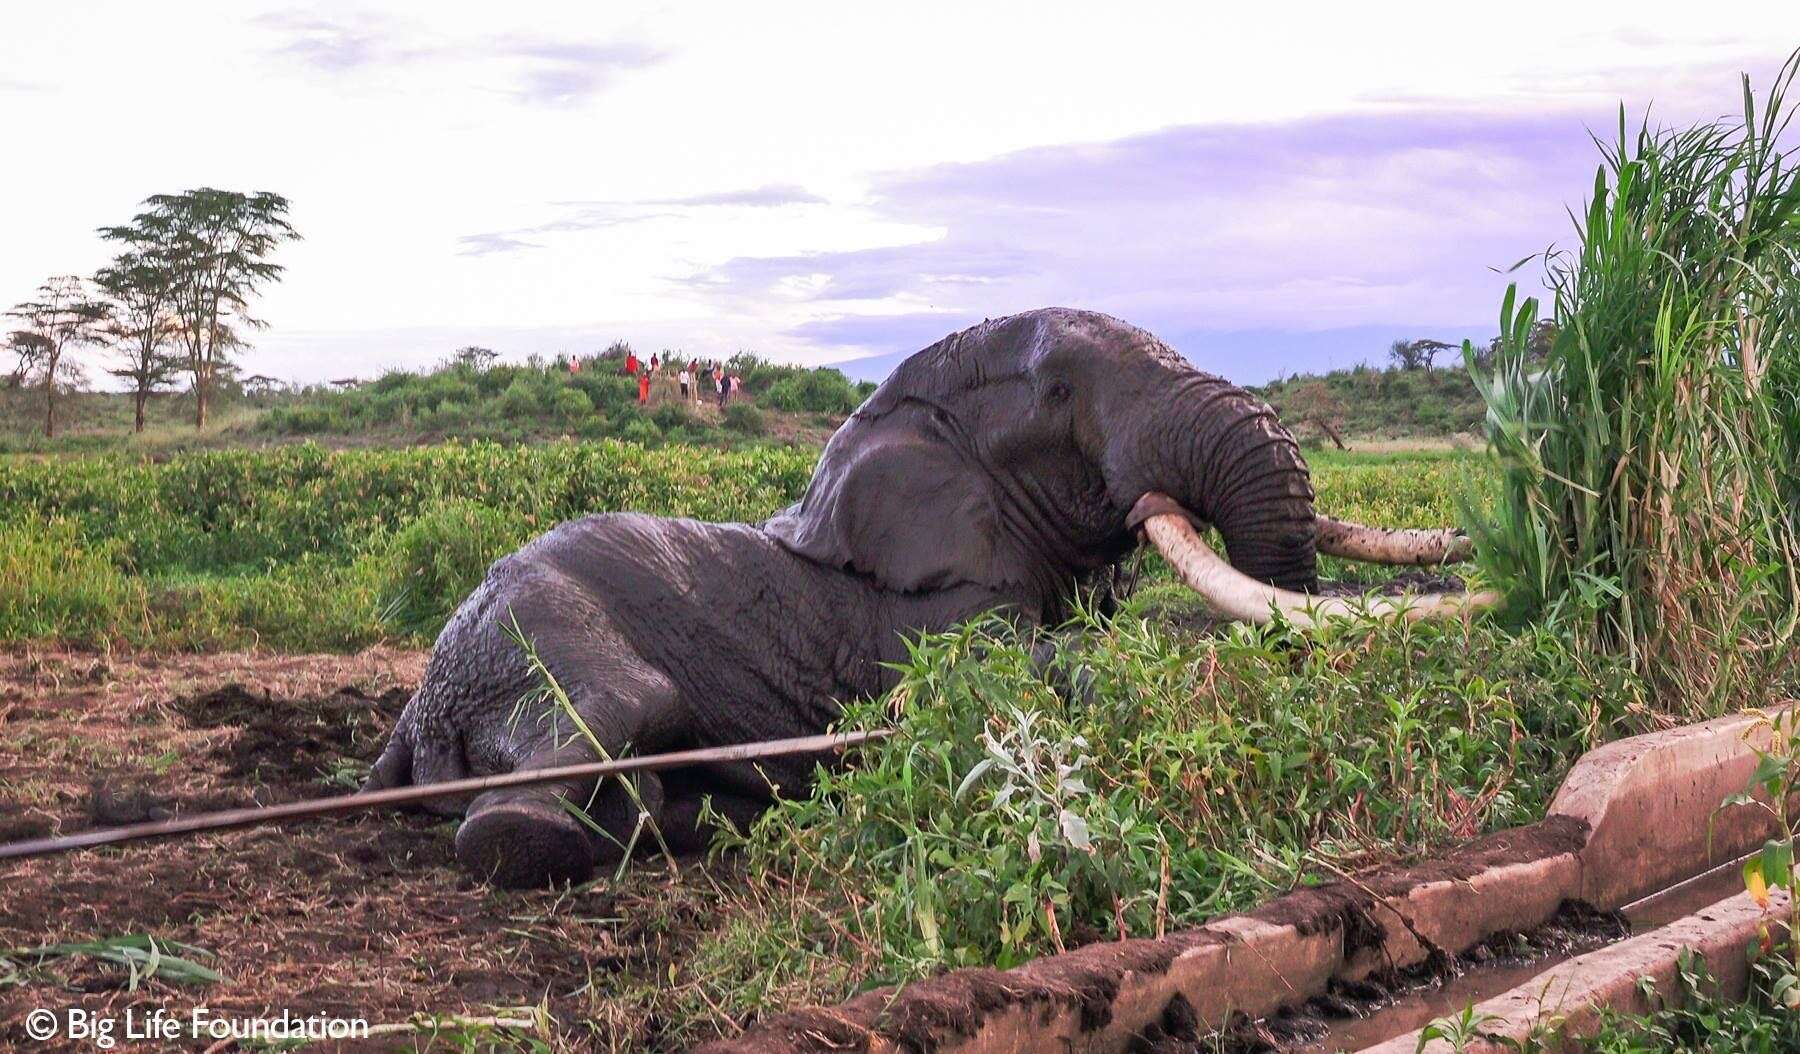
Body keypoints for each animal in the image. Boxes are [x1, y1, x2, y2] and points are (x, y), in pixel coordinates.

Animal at [369, 305, 1490, 884]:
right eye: (1058, 394)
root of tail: (413, 715)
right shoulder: (923, 618)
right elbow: (1013, 675)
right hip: (531, 631)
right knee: (613, 717)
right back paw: (552, 837)